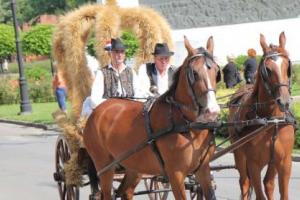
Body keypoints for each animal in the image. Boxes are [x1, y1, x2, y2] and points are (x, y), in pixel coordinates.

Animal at [83, 36, 221, 200]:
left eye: (217, 71)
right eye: (194, 73)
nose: (212, 111)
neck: (189, 127)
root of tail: (97, 111)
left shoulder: (203, 170)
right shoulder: (176, 174)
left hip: (134, 165)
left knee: (125, 191)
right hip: (104, 167)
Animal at [229, 32, 294, 199]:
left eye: (287, 66)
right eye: (268, 70)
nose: (284, 101)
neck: (273, 121)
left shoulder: (284, 162)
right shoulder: (254, 164)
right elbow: (258, 194)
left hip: (272, 162)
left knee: (268, 184)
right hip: (239, 154)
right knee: (244, 183)